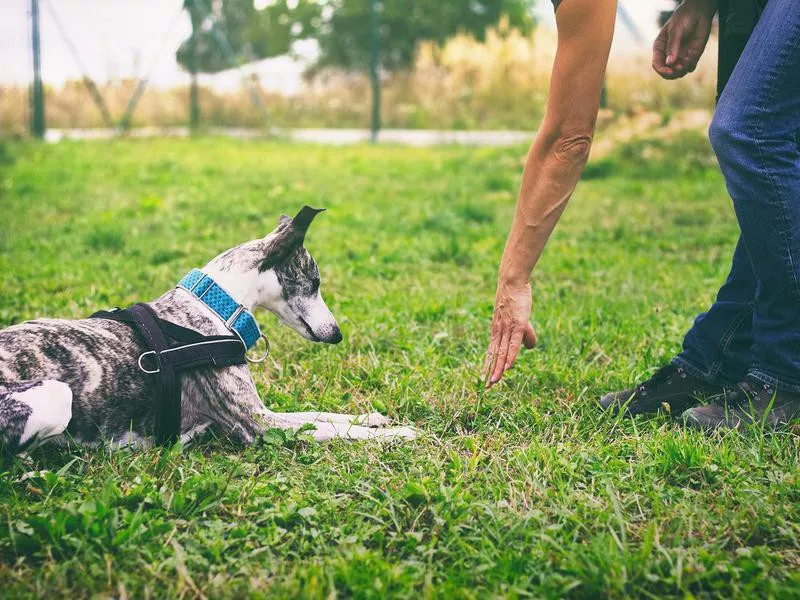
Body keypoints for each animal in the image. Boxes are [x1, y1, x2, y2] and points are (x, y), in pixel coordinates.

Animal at [0, 204, 412, 452]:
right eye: (315, 282)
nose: (337, 333)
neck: (214, 306)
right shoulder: (257, 423)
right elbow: (335, 430)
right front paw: (401, 433)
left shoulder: (263, 411)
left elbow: (321, 415)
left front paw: (374, 418)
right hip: (57, 395)